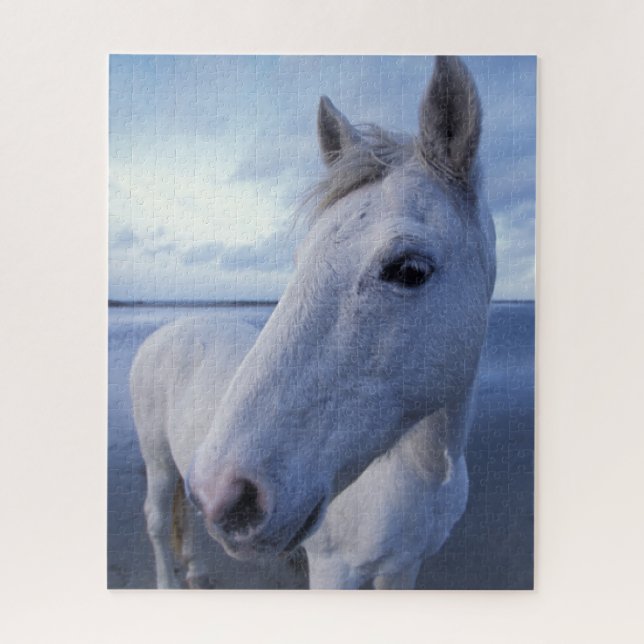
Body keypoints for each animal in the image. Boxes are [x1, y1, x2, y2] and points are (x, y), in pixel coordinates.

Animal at [130, 56, 496, 589]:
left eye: (409, 270)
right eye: (300, 257)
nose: (226, 495)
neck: (421, 472)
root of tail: (167, 332)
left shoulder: (404, 568)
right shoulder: (332, 571)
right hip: (157, 461)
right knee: (158, 521)